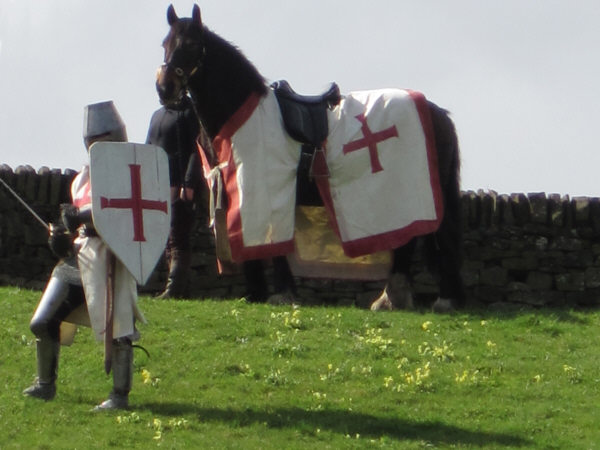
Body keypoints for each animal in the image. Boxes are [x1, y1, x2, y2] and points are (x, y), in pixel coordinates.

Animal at [157, 4, 466, 312]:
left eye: (192, 44)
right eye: (165, 43)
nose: (164, 87)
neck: (241, 114)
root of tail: (439, 113)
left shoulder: (270, 193)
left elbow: (277, 246)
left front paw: (282, 293)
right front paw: (256, 293)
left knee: (441, 237)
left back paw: (441, 300)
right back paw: (391, 298)